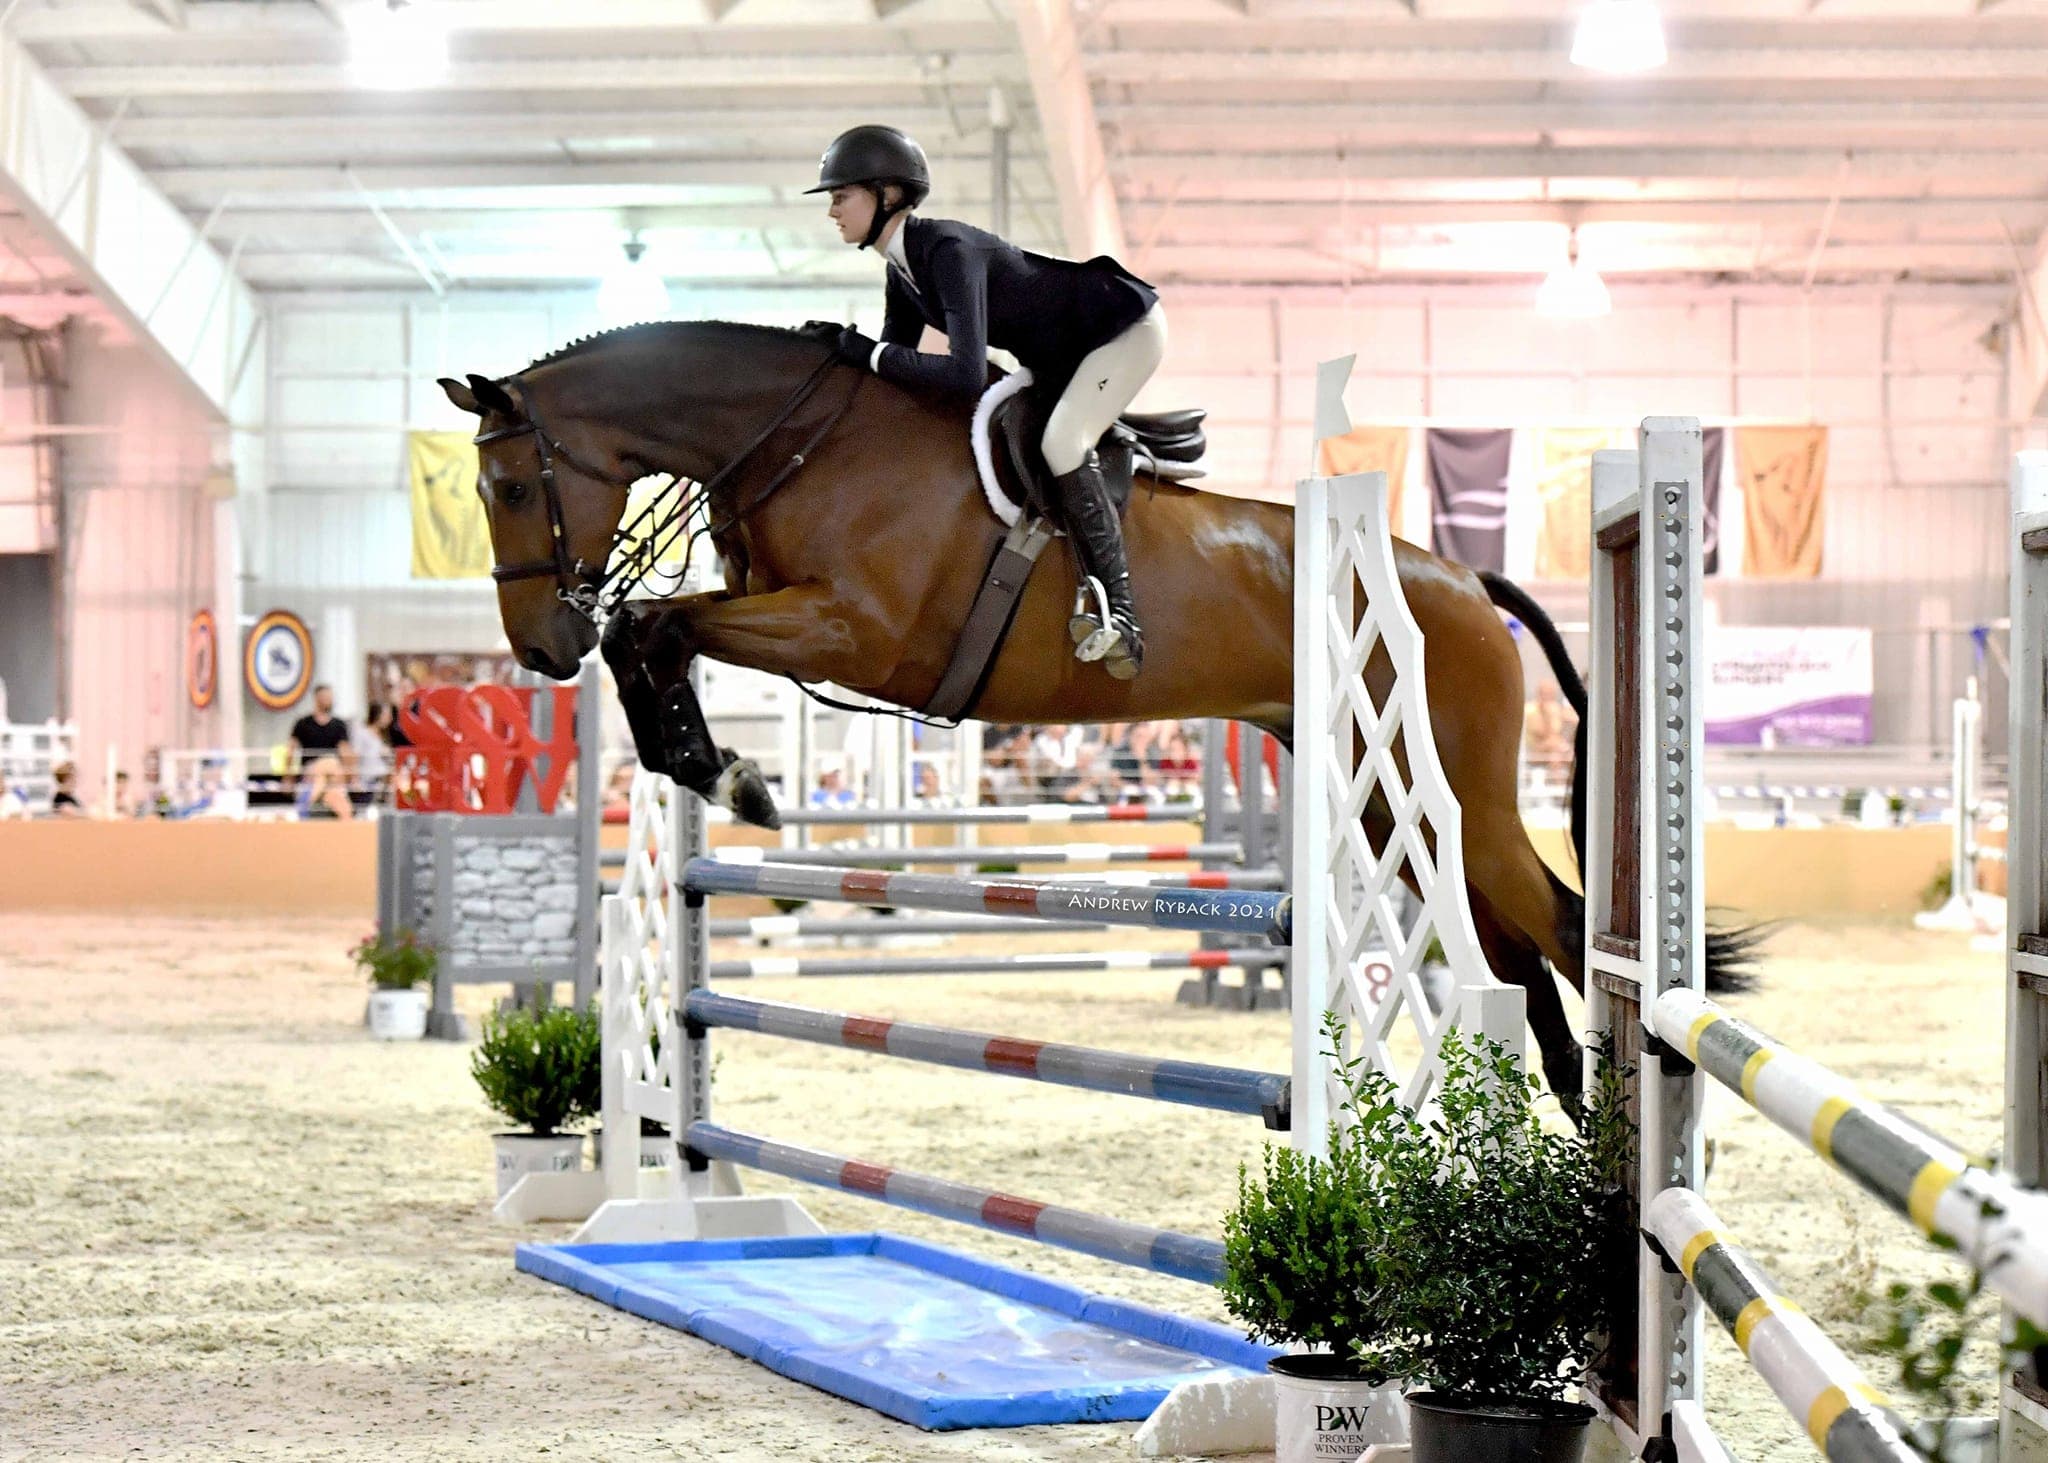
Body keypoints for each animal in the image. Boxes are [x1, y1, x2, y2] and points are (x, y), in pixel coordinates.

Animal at [438, 317, 1743, 1109]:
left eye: (504, 484)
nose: (536, 647)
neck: (797, 437)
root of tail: (1465, 582)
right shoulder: (778, 609)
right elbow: (648, 630)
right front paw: (705, 761)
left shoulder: (856, 631)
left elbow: (652, 624)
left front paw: (726, 771)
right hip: (1389, 811)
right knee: (1512, 953)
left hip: (1452, 793)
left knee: (1559, 926)